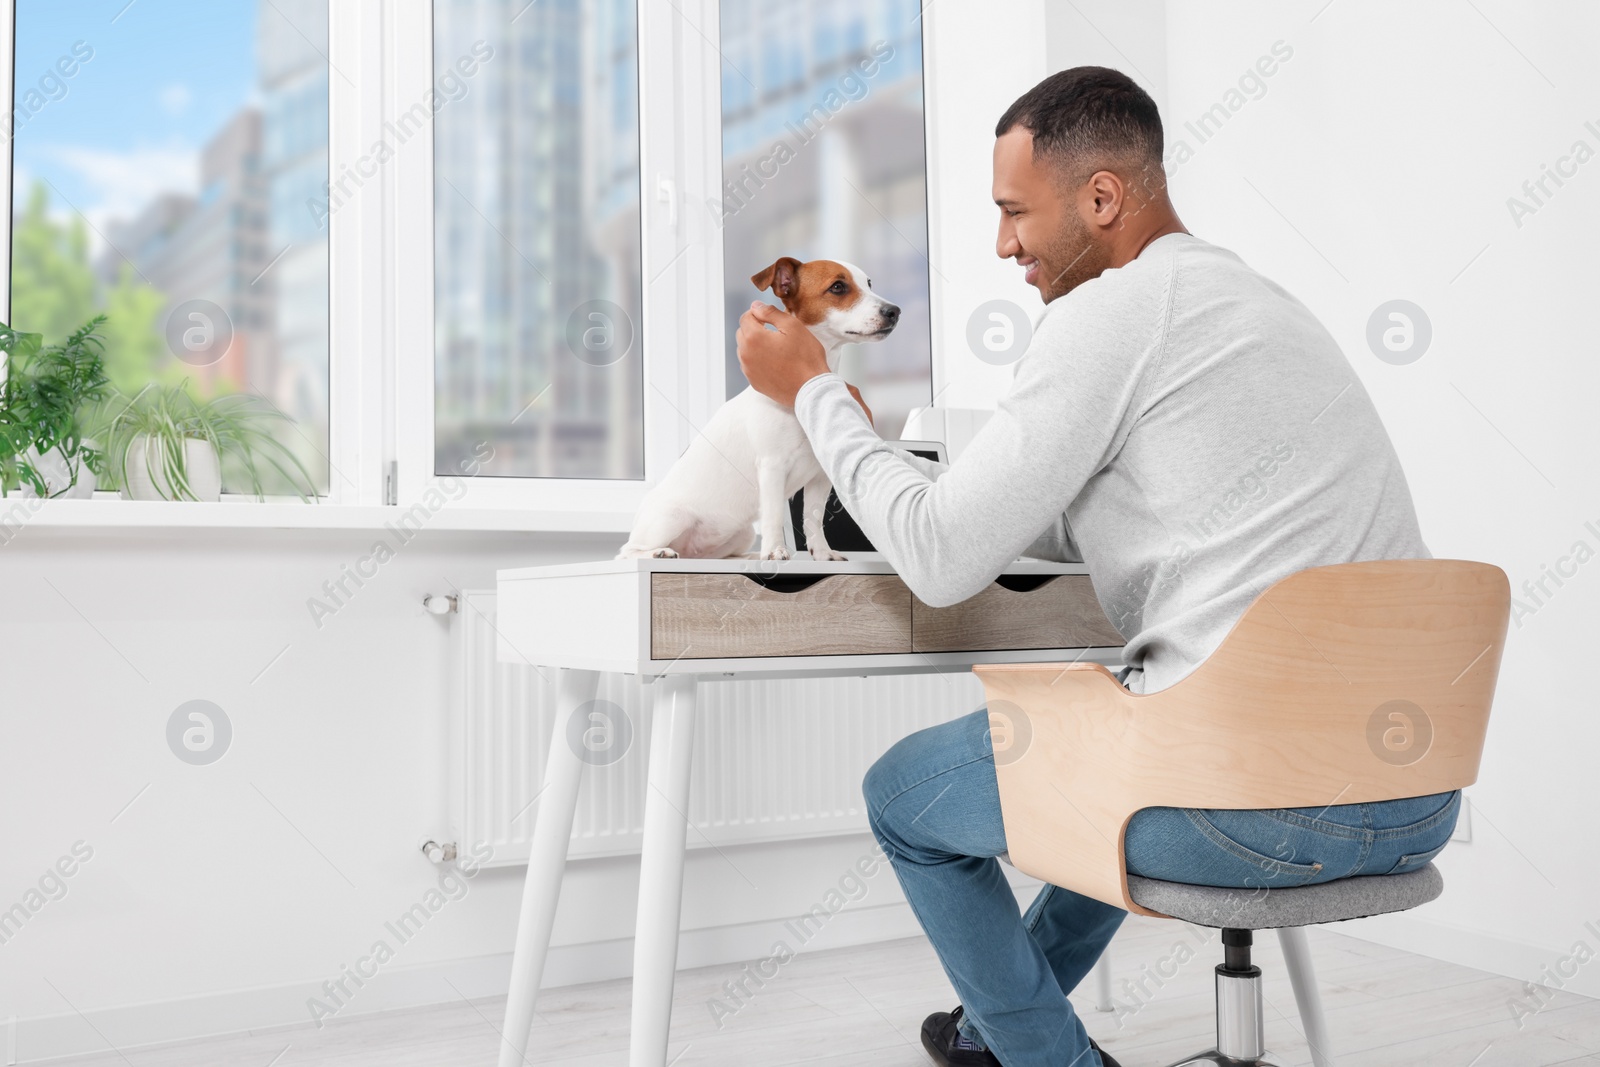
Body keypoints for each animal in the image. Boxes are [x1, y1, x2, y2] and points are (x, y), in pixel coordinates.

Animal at [617, 259, 902, 563]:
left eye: (869, 284)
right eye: (838, 287)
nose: (894, 311)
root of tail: (690, 552)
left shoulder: (820, 476)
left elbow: (813, 518)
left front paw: (822, 553)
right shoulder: (772, 466)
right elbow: (774, 514)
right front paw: (776, 550)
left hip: (740, 534)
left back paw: (750, 556)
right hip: (670, 518)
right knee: (627, 552)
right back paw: (659, 552)